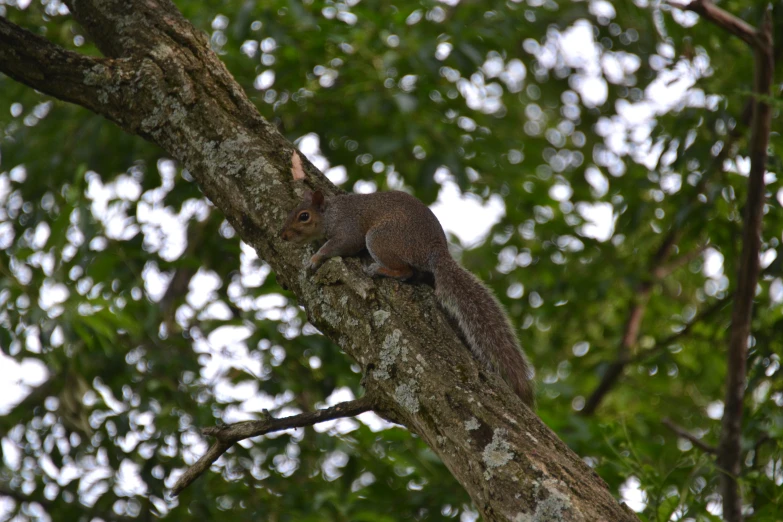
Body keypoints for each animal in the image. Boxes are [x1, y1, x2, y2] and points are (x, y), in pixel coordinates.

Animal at [278, 187, 536, 406]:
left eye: (303, 216)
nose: (283, 235)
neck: (331, 213)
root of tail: (435, 252)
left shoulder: (348, 229)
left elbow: (340, 245)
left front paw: (315, 258)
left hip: (381, 238)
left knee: (405, 271)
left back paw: (379, 269)